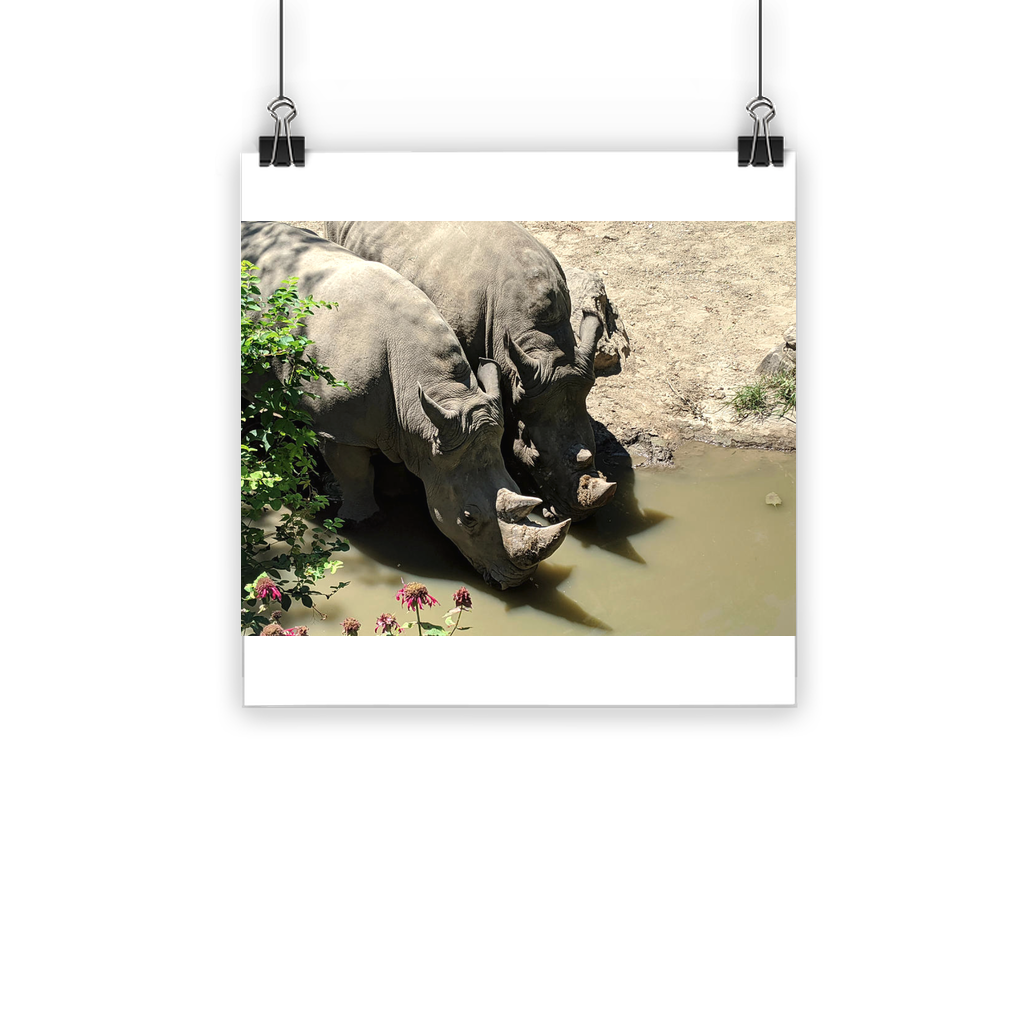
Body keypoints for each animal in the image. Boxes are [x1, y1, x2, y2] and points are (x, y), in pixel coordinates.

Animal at [240, 221, 571, 589]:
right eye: (468, 518)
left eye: (518, 489)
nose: (518, 582)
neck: (439, 390)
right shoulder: (339, 429)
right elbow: (355, 475)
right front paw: (364, 522)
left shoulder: (419, 426)